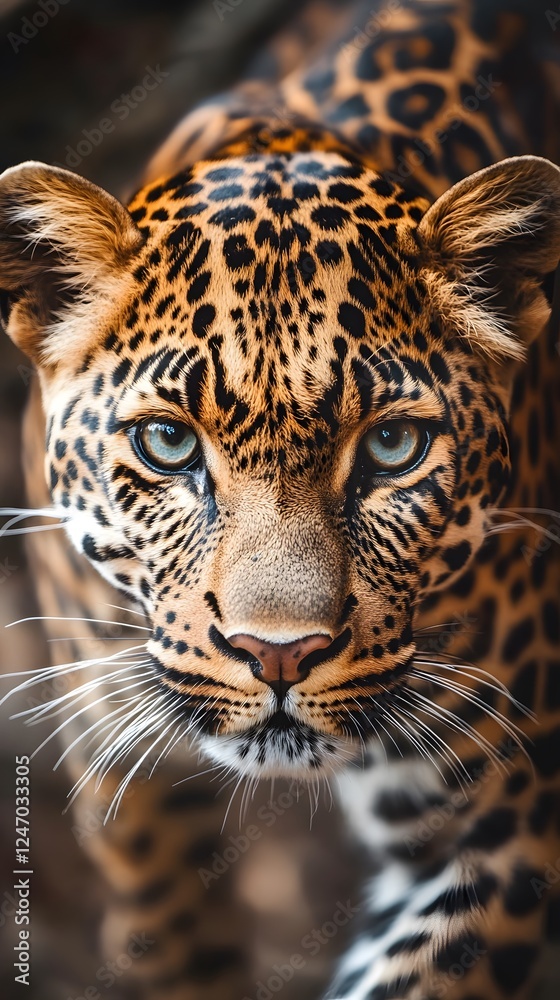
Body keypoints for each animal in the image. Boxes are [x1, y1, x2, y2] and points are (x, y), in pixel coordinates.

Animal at [1, 0, 560, 998]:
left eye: (392, 447)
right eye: (169, 442)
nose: (279, 655)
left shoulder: (510, 817)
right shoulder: (126, 774)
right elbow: (172, 939)